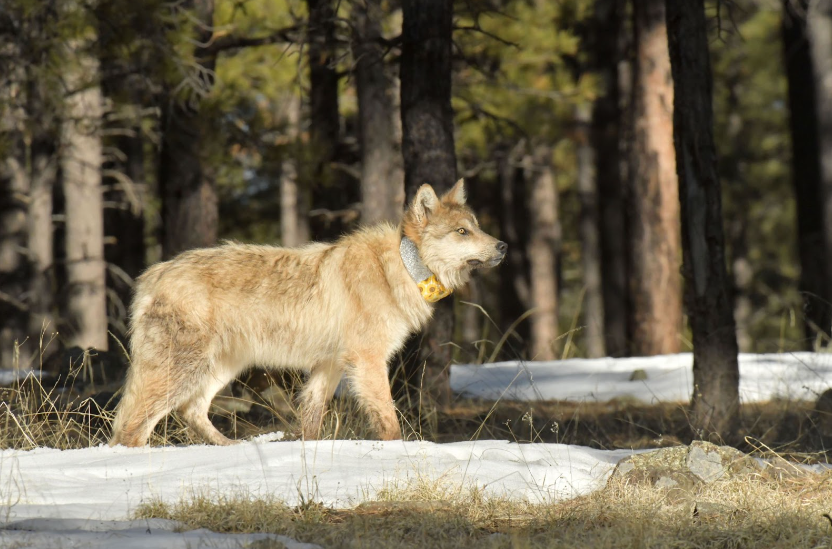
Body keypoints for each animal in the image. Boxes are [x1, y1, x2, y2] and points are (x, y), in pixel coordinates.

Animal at [109, 179, 506, 446]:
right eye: (462, 231)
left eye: (477, 227)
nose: (503, 245)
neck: (398, 269)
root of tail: (152, 275)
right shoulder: (368, 361)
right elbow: (389, 423)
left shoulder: (327, 367)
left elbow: (311, 423)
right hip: (185, 371)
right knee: (130, 427)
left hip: (222, 368)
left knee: (190, 412)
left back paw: (233, 448)